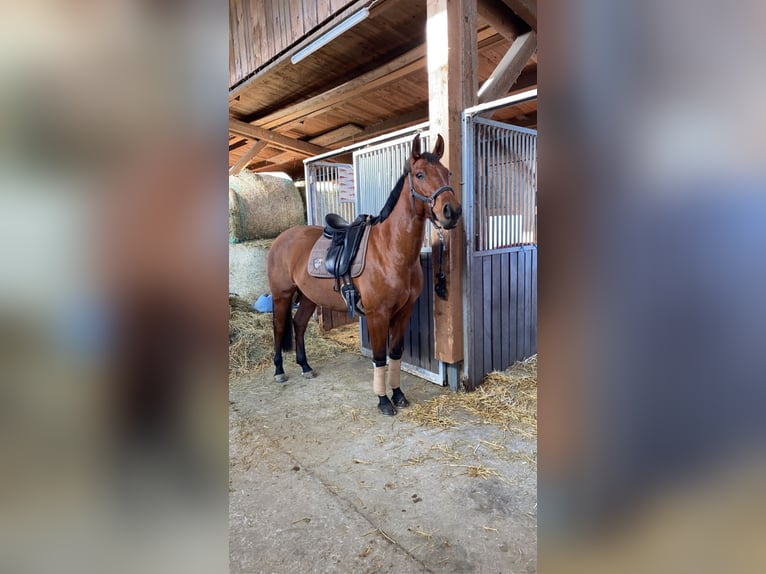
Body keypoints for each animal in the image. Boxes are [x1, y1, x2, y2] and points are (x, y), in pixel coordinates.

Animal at [268, 133, 462, 416]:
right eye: (420, 174)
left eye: (447, 172)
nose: (452, 211)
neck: (390, 251)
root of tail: (282, 238)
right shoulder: (377, 314)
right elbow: (379, 356)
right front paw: (383, 401)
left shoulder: (404, 311)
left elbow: (395, 353)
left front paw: (398, 394)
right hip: (281, 295)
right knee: (280, 326)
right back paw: (279, 370)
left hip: (308, 297)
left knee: (299, 324)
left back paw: (305, 366)